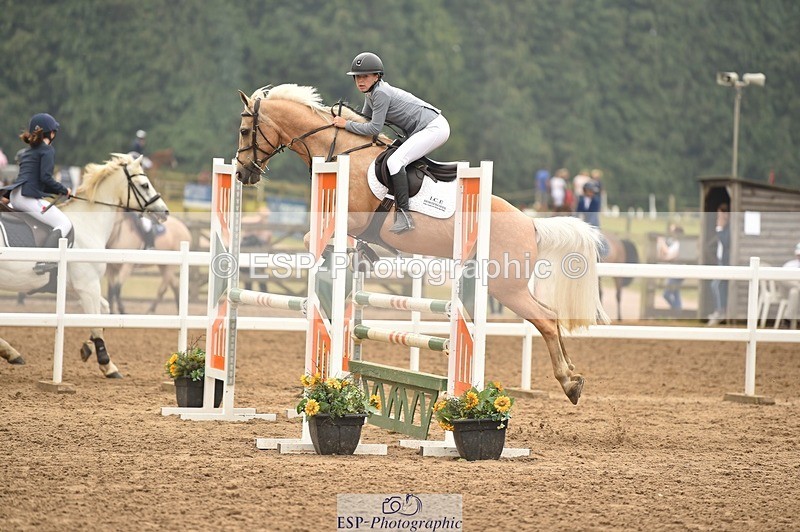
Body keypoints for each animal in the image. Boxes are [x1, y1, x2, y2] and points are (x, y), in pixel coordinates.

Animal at [0, 153, 170, 378]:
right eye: (144, 185)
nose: (165, 212)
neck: (88, 224)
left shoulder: (76, 287)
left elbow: (103, 312)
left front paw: (88, 347)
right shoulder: (88, 286)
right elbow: (97, 322)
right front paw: (107, 364)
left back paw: (11, 353)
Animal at [234, 84, 609, 405]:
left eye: (244, 131)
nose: (241, 173)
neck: (340, 149)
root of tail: (531, 223)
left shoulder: (351, 220)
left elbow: (312, 239)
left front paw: (345, 261)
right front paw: (362, 257)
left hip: (506, 286)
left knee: (545, 319)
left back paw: (569, 383)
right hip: (500, 282)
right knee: (551, 317)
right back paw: (574, 375)